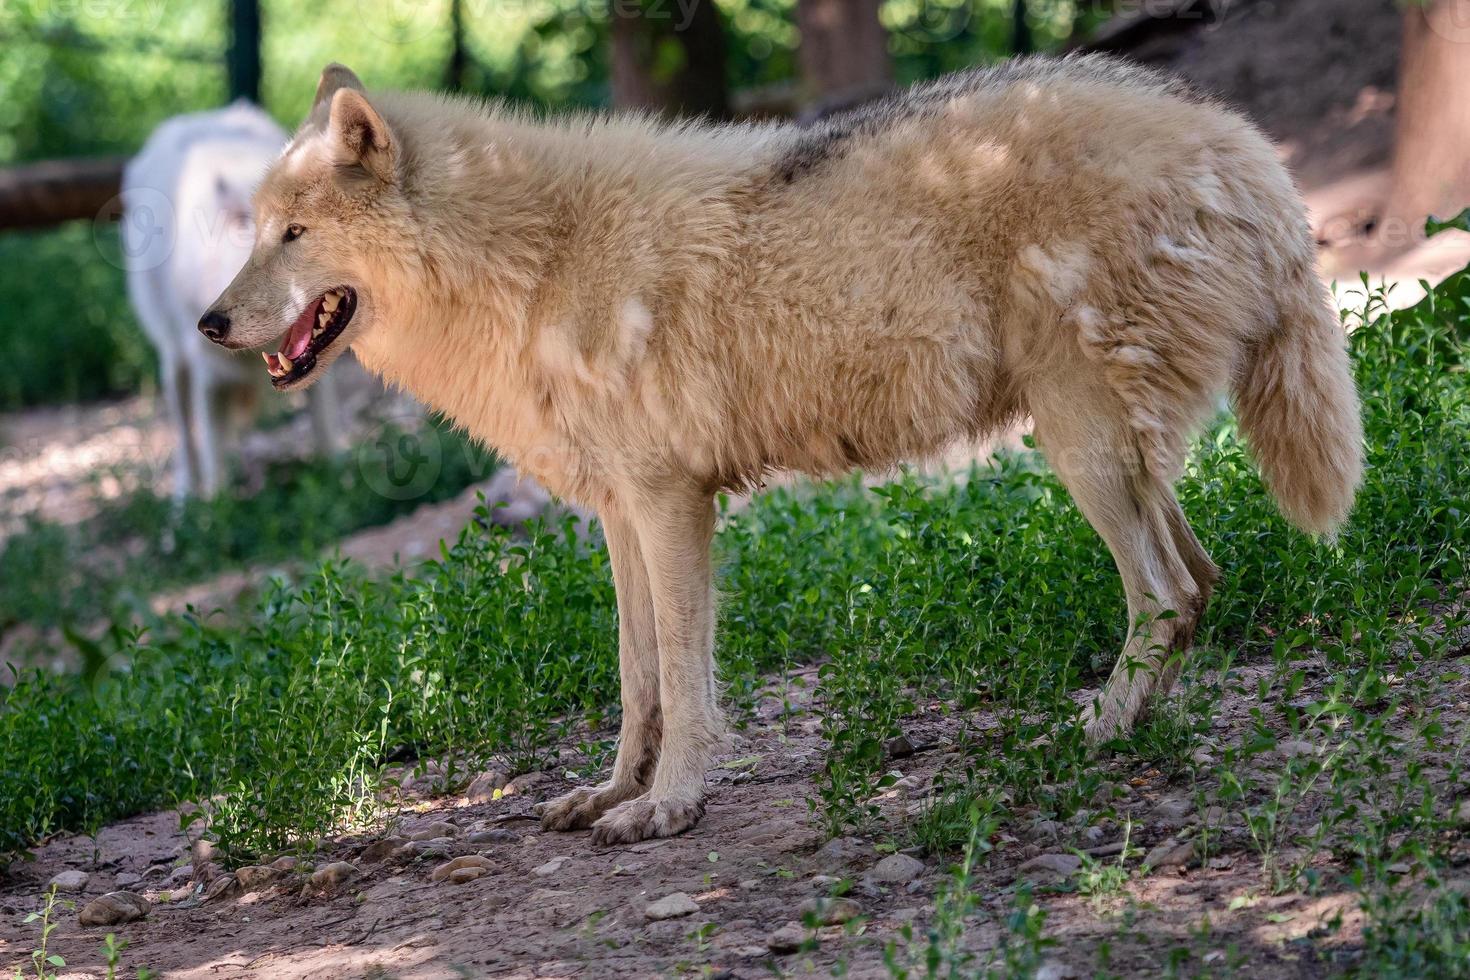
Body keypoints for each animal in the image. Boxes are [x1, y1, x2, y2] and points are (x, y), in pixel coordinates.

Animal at [121, 103, 338, 499]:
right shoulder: (209, 372)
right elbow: (213, 456)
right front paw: (216, 508)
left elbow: (326, 430)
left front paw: (339, 481)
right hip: (173, 360)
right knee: (186, 435)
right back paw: (185, 499)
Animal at [201, 57, 1358, 846]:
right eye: (254, 230)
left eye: (295, 235)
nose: (210, 322)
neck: (532, 264)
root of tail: (1236, 139)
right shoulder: (620, 513)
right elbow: (636, 678)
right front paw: (614, 791)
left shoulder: (674, 503)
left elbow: (683, 676)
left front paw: (670, 806)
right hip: (1113, 456)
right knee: (1201, 583)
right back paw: (1129, 725)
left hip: (1082, 454)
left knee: (1165, 593)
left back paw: (1092, 735)